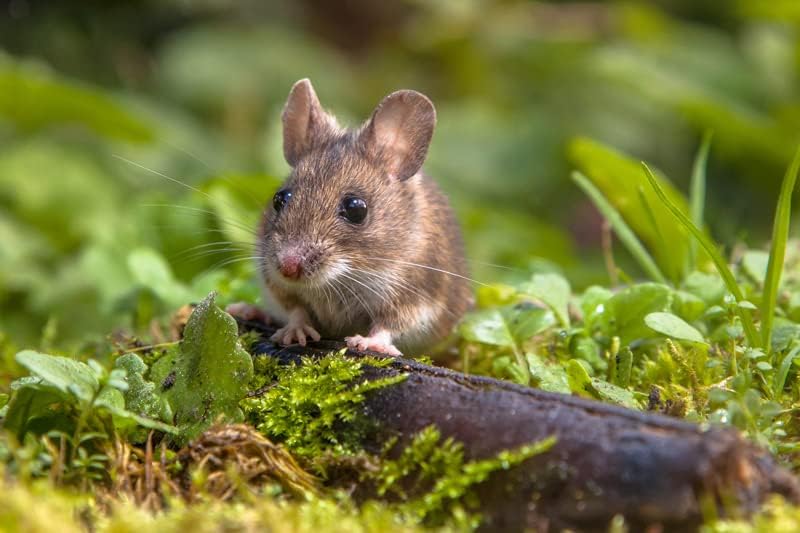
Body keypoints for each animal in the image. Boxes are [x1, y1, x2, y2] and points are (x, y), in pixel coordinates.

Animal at [231, 79, 472, 356]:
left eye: (356, 209)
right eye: (279, 199)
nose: (288, 267)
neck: (344, 276)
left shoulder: (415, 296)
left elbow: (388, 326)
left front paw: (367, 343)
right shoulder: (277, 285)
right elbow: (296, 309)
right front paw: (295, 331)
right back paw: (248, 310)